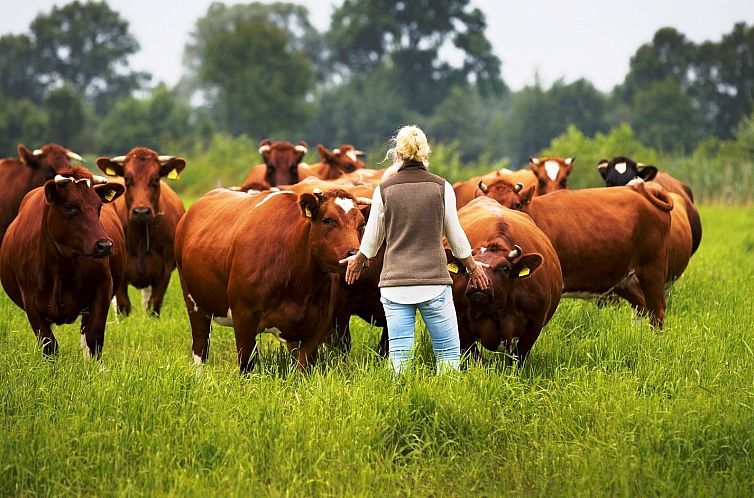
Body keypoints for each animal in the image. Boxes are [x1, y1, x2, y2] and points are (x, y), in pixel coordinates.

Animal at [0, 167, 125, 358]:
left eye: (99, 206)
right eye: (69, 206)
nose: (105, 245)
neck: (60, 266)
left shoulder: (103, 287)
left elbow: (94, 339)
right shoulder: (29, 299)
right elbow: (49, 345)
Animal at [97, 146, 187, 316]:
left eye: (156, 179)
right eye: (127, 179)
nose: (141, 211)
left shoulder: (164, 271)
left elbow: (153, 305)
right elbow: (123, 306)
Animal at [174, 187, 368, 374]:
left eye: (361, 224)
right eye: (328, 220)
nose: (355, 257)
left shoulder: (319, 322)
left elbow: (302, 367)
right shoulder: (244, 316)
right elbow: (246, 365)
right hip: (193, 301)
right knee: (200, 345)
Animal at [444, 196, 560, 364]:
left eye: (505, 268)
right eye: (468, 267)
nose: (478, 284)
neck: (498, 309)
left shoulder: (535, 323)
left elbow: (519, 358)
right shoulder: (460, 321)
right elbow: (473, 356)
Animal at [476, 179, 668, 326]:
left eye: (516, 204)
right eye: (487, 200)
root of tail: (638, 190)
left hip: (653, 268)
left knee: (657, 310)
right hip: (625, 279)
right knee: (642, 307)